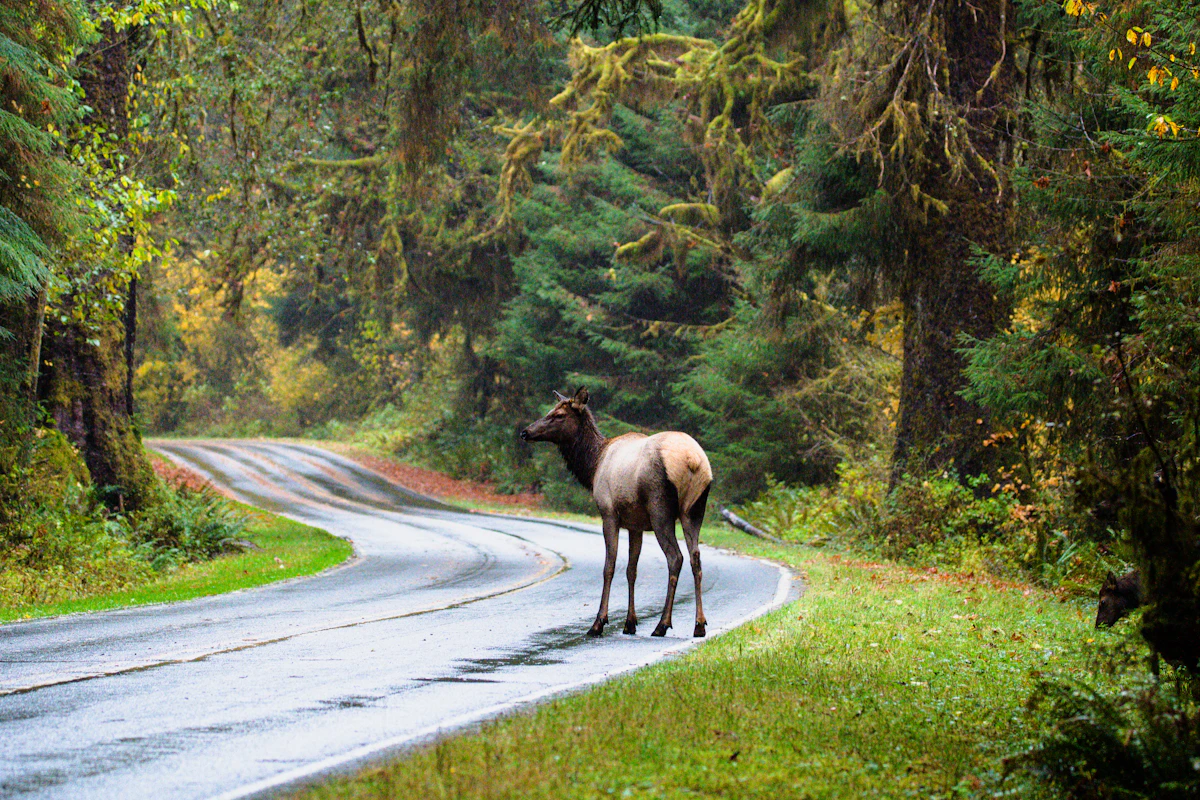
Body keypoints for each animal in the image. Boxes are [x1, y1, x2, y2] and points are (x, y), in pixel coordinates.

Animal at [520, 387, 713, 638]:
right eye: (551, 410)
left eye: (559, 415)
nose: (525, 432)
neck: (592, 467)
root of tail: (693, 460)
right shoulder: (635, 524)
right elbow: (632, 569)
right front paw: (630, 623)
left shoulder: (609, 513)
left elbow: (609, 567)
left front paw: (599, 622)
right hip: (694, 510)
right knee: (695, 558)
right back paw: (699, 624)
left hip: (660, 509)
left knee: (675, 557)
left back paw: (662, 624)